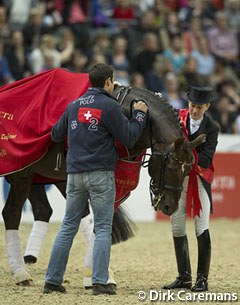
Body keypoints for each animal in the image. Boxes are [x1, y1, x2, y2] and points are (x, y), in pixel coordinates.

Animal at [2, 83, 204, 284]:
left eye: (188, 170)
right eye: (171, 166)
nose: (170, 207)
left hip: (43, 175)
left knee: (45, 210)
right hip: (22, 173)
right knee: (12, 213)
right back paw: (21, 272)